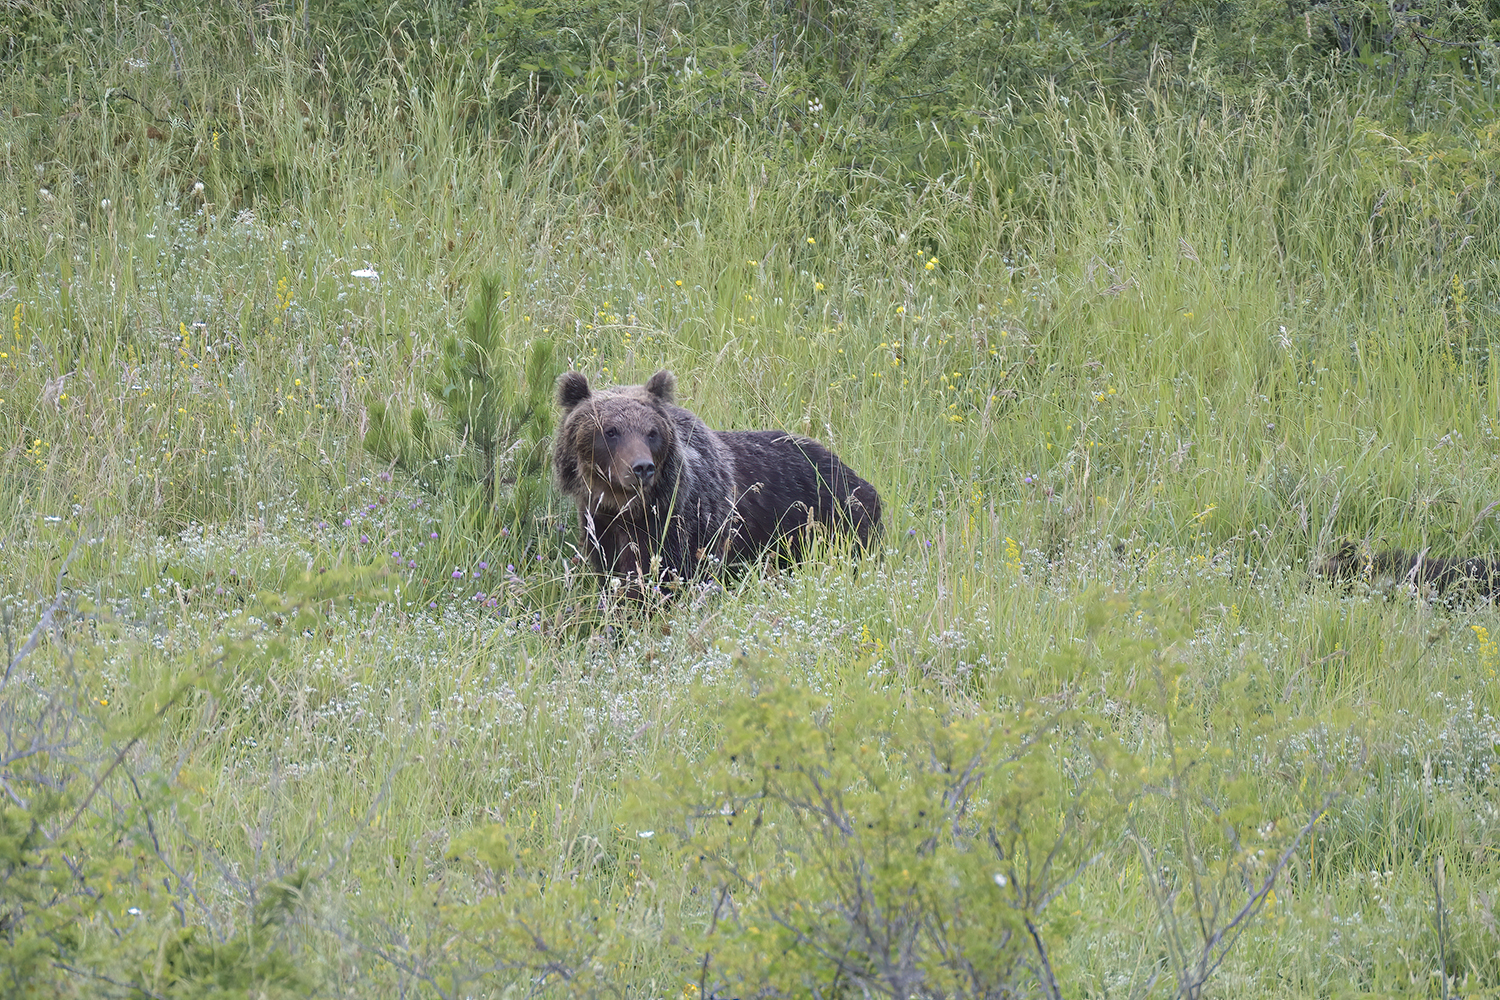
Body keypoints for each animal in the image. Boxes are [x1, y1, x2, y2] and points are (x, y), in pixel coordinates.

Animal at [552, 368, 882, 590]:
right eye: (610, 431)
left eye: (651, 432)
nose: (641, 467)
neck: (628, 508)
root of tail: (850, 470)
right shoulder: (601, 526)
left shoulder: (689, 527)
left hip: (834, 522)